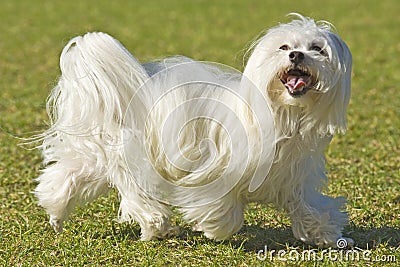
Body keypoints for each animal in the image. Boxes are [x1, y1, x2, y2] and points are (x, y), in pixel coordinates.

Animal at [34, 14, 354, 248]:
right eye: (284, 48)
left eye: (317, 49)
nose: (297, 56)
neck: (283, 115)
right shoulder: (216, 170)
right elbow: (222, 207)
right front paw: (214, 228)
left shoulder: (294, 178)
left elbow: (309, 207)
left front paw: (329, 235)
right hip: (132, 159)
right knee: (134, 193)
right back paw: (156, 225)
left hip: (97, 158)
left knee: (65, 176)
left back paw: (56, 216)